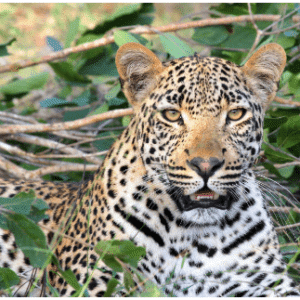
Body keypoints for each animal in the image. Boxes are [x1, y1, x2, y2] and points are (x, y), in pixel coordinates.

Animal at [0, 41, 300, 296]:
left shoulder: (267, 282)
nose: (205, 166)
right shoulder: (94, 281)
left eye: (236, 114)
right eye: (172, 115)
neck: (196, 239)